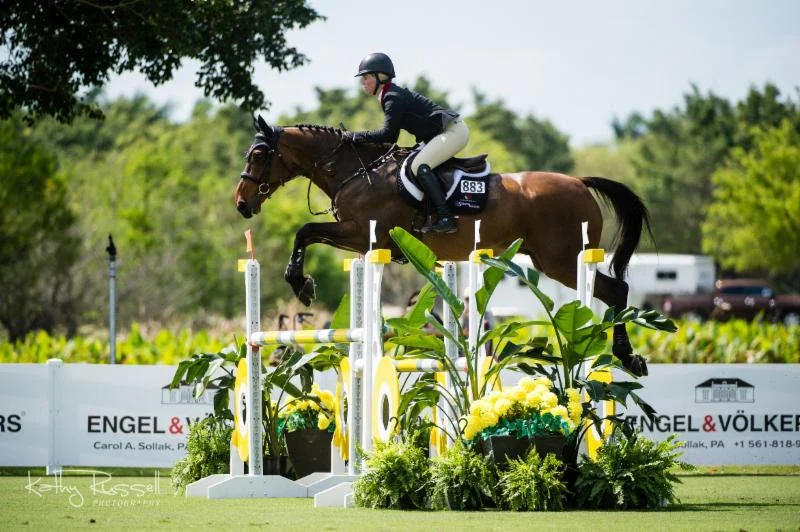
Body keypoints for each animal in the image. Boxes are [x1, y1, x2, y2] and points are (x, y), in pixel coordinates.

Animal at [235, 116, 652, 376]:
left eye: (258, 155)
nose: (241, 203)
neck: (358, 172)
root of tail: (580, 182)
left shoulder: (361, 233)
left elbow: (304, 230)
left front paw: (300, 285)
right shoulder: (360, 239)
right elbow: (308, 232)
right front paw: (303, 284)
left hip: (561, 260)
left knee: (617, 289)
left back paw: (627, 357)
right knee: (613, 290)